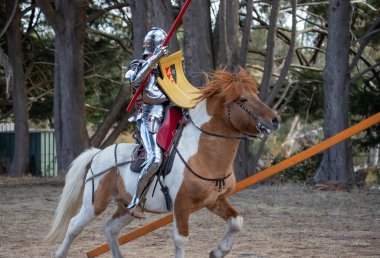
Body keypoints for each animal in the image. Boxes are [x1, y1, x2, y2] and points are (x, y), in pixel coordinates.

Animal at [46, 68, 280, 258]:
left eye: (256, 95)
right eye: (242, 100)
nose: (275, 120)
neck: (204, 155)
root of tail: (98, 154)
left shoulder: (215, 200)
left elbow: (236, 222)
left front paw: (218, 251)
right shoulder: (181, 206)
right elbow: (181, 240)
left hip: (127, 207)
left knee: (110, 228)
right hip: (93, 204)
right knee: (74, 226)